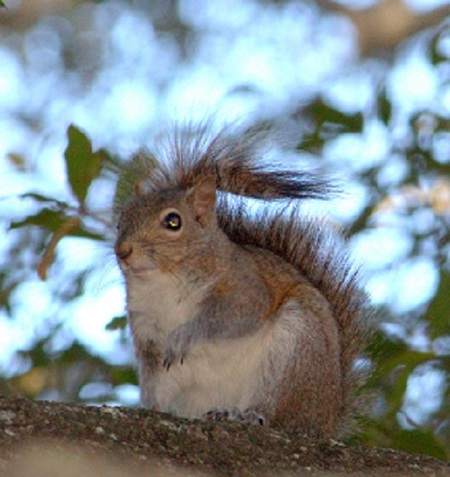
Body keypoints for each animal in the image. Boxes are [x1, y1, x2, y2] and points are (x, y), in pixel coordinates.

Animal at [114, 123, 370, 438]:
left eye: (173, 222)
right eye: (120, 220)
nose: (123, 251)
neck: (162, 283)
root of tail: (327, 418)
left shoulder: (244, 285)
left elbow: (232, 316)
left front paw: (186, 335)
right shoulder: (145, 328)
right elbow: (153, 375)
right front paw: (149, 409)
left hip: (296, 349)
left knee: (277, 413)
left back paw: (249, 416)